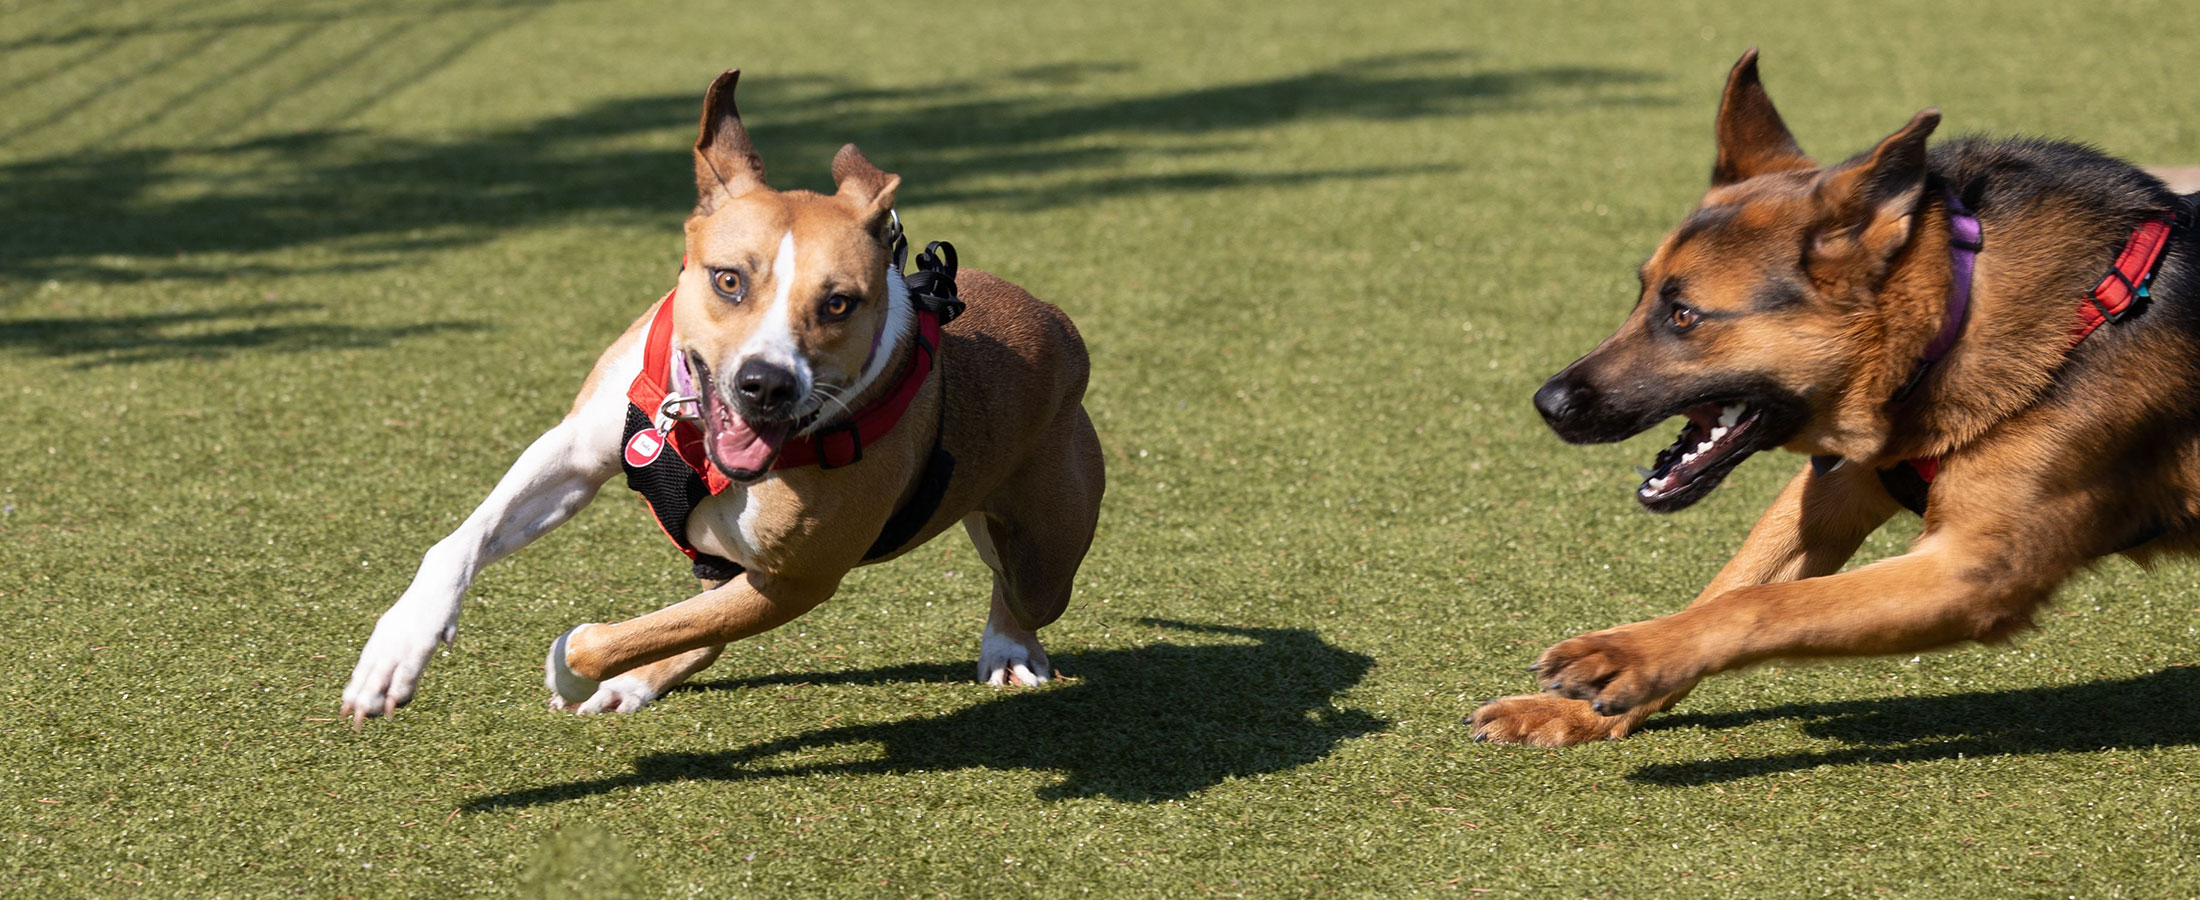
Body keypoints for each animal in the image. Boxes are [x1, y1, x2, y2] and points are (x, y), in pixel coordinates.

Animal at [336, 68, 1108, 721]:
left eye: (838, 303)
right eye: (729, 279)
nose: (765, 383)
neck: (692, 434)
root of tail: (1057, 322)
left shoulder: (795, 581)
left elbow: (599, 637)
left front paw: (570, 667)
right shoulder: (575, 456)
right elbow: (459, 542)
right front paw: (397, 649)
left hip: (1044, 553)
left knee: (1022, 592)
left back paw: (1009, 647)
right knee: (692, 630)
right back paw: (631, 684)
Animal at [1469, 52, 2191, 748]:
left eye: (1683, 315)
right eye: (1642, 293)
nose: (1547, 403)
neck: (1952, 321)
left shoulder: (1976, 571)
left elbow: (1758, 605)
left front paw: (1629, 656)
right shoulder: (1835, 493)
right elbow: (1728, 590)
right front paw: (1580, 709)